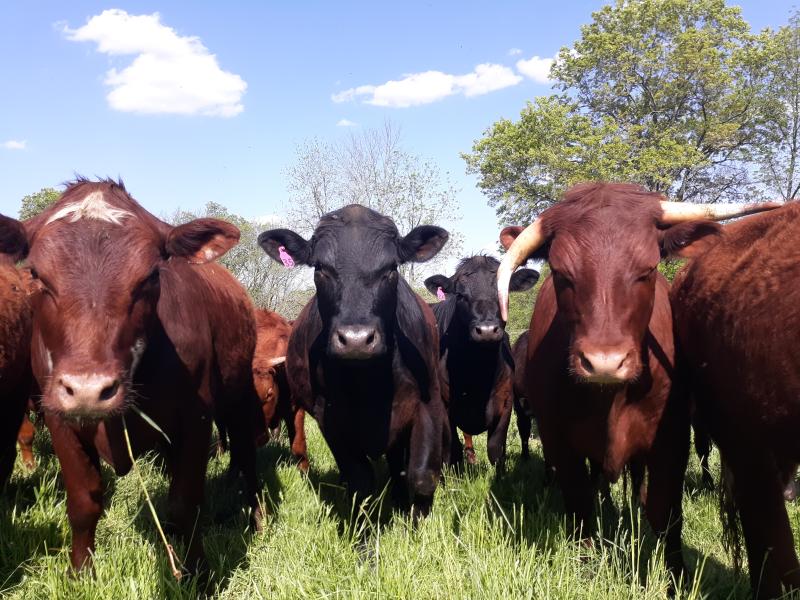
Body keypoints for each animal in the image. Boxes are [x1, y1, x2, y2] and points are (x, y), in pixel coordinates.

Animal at [0, 179, 265, 575]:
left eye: (151, 276)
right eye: (35, 274)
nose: (88, 390)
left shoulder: (197, 419)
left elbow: (185, 504)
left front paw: (199, 574)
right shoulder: (60, 421)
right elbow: (84, 503)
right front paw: (81, 572)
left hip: (240, 394)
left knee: (246, 454)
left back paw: (258, 517)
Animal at [424, 256, 538, 470]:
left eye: (504, 292)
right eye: (460, 294)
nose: (486, 330)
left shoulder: (505, 404)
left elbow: (495, 450)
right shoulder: (445, 407)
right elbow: (452, 449)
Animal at [496, 182, 779, 587]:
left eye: (648, 270)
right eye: (562, 274)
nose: (604, 362)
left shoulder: (671, 438)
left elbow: (666, 511)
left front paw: (676, 577)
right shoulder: (558, 439)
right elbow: (580, 505)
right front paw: (586, 564)